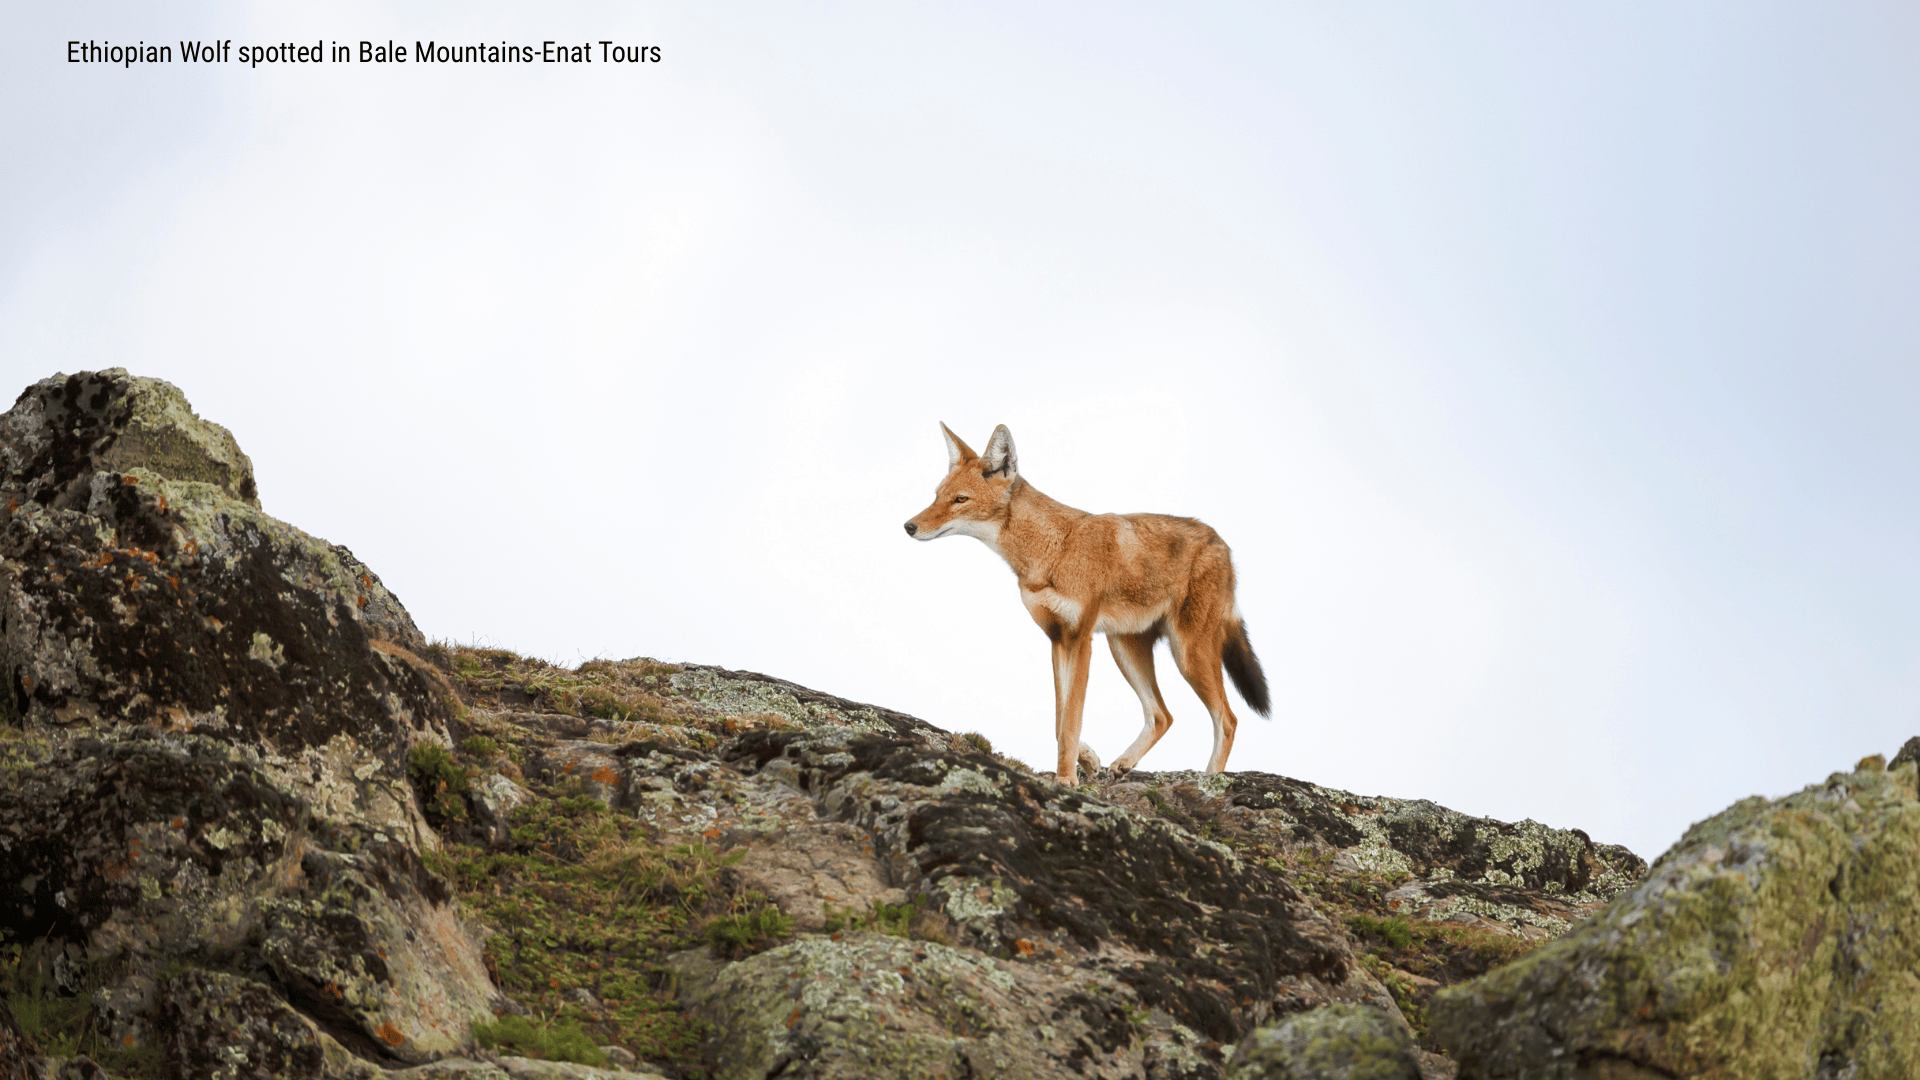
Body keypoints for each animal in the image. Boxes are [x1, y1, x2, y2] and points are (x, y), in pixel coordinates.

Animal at [904, 423, 1270, 783]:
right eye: (937, 495)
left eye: (960, 499)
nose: (909, 526)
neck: (1051, 551)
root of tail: (1222, 544)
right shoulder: (1058, 640)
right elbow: (1060, 719)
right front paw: (1088, 761)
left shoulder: (1080, 640)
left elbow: (1070, 720)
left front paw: (1066, 780)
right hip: (1125, 649)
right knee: (1161, 715)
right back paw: (1123, 764)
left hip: (1187, 655)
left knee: (1228, 719)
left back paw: (1211, 781)